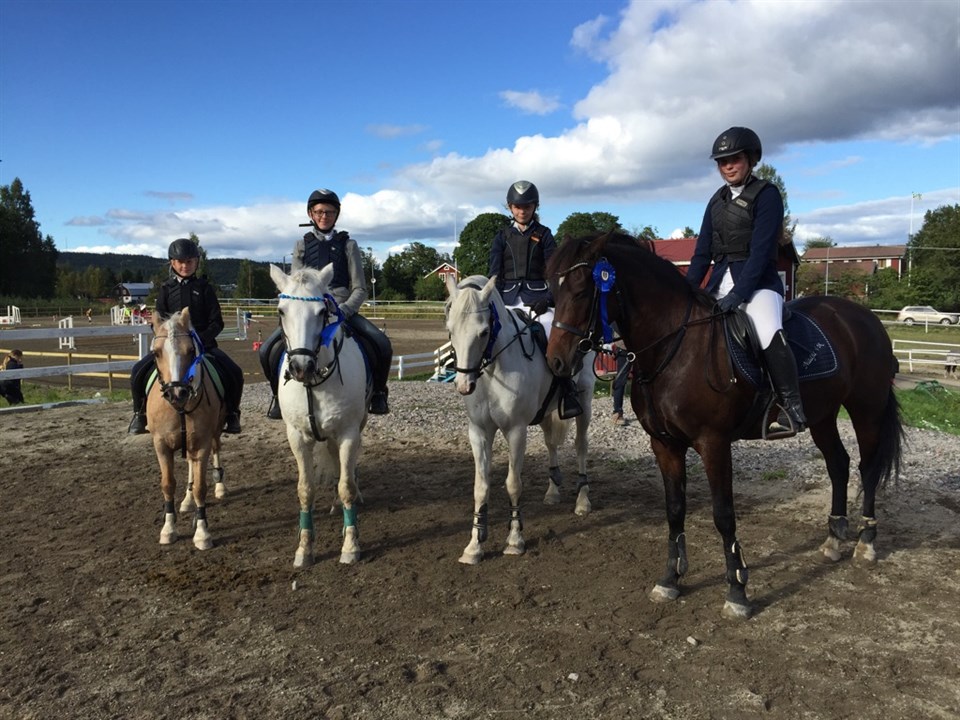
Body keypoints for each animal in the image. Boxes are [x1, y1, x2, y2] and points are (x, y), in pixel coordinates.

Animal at [146, 308, 227, 550]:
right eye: (156, 353)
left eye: (191, 351)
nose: (177, 393)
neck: (179, 408)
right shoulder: (161, 445)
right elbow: (167, 485)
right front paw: (168, 529)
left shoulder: (202, 443)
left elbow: (201, 486)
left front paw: (202, 533)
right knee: (190, 464)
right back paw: (187, 500)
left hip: (214, 432)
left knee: (216, 451)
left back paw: (220, 487)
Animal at [270, 263, 369, 566]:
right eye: (281, 311)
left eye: (322, 312)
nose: (301, 367)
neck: (314, 384)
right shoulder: (297, 437)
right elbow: (305, 489)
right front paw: (304, 549)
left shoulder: (348, 432)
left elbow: (346, 485)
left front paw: (351, 546)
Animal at [444, 274, 596, 565]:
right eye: (450, 330)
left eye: (483, 332)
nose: (464, 385)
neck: (492, 368)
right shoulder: (478, 432)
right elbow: (480, 486)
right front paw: (474, 544)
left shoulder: (516, 431)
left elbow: (513, 484)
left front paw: (515, 540)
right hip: (547, 412)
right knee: (551, 444)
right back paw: (552, 492)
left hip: (584, 402)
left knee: (581, 446)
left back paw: (583, 500)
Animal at [545, 232, 904, 619]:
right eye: (553, 291)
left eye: (582, 290)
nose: (556, 361)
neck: (674, 347)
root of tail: (862, 316)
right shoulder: (664, 444)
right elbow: (675, 510)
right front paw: (670, 579)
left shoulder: (713, 443)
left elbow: (724, 515)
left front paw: (737, 590)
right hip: (822, 415)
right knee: (838, 464)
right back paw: (835, 538)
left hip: (866, 409)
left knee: (867, 469)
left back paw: (866, 542)